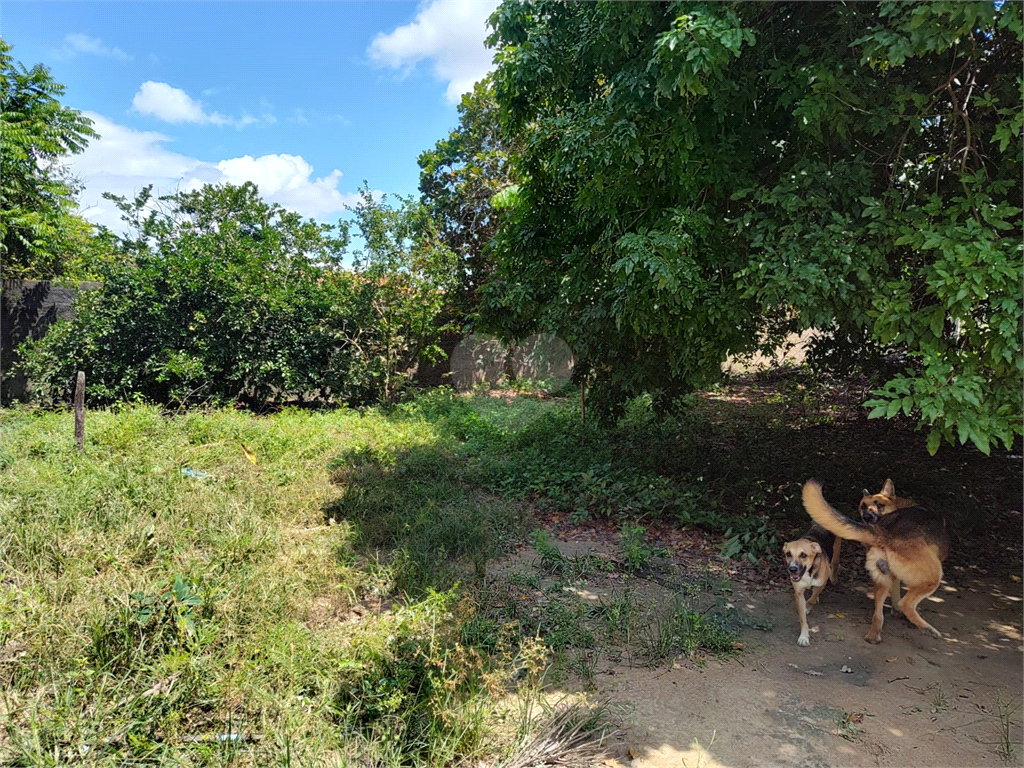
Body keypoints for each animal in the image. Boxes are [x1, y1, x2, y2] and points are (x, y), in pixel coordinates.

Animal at [798, 481, 950, 643]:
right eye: (863, 506)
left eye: (879, 504)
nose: (867, 517)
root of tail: (882, 530)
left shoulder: (893, 577)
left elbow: (894, 593)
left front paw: (895, 610)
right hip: (934, 576)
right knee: (906, 604)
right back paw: (927, 629)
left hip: (882, 578)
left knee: (878, 611)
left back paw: (873, 634)